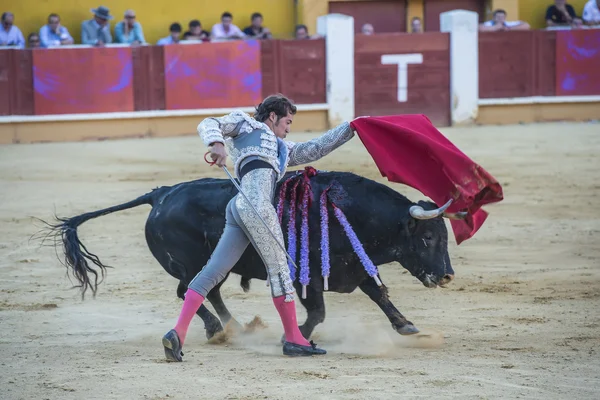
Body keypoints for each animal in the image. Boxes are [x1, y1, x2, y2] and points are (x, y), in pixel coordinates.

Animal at [45, 169, 460, 340]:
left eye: (445, 237)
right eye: (427, 237)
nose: (446, 276)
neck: (348, 210)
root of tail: (161, 194)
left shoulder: (356, 266)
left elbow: (380, 294)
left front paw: (406, 325)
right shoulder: (307, 275)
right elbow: (319, 312)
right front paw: (298, 336)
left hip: (218, 263)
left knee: (208, 291)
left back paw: (237, 326)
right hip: (190, 263)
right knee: (189, 290)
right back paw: (218, 329)